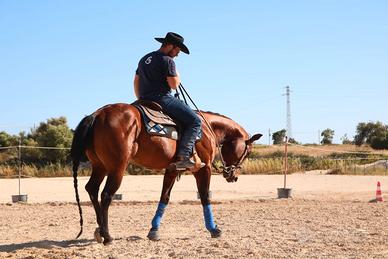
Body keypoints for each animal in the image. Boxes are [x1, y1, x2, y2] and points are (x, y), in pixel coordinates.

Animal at [71, 102, 262, 245]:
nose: (233, 176)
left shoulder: (171, 170)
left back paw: (99, 230)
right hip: (117, 167)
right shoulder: (203, 169)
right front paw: (214, 229)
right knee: (106, 195)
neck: (208, 128)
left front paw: (154, 231)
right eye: (248, 151)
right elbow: (205, 197)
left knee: (92, 189)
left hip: (100, 166)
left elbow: (164, 197)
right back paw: (107, 235)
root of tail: (97, 114)